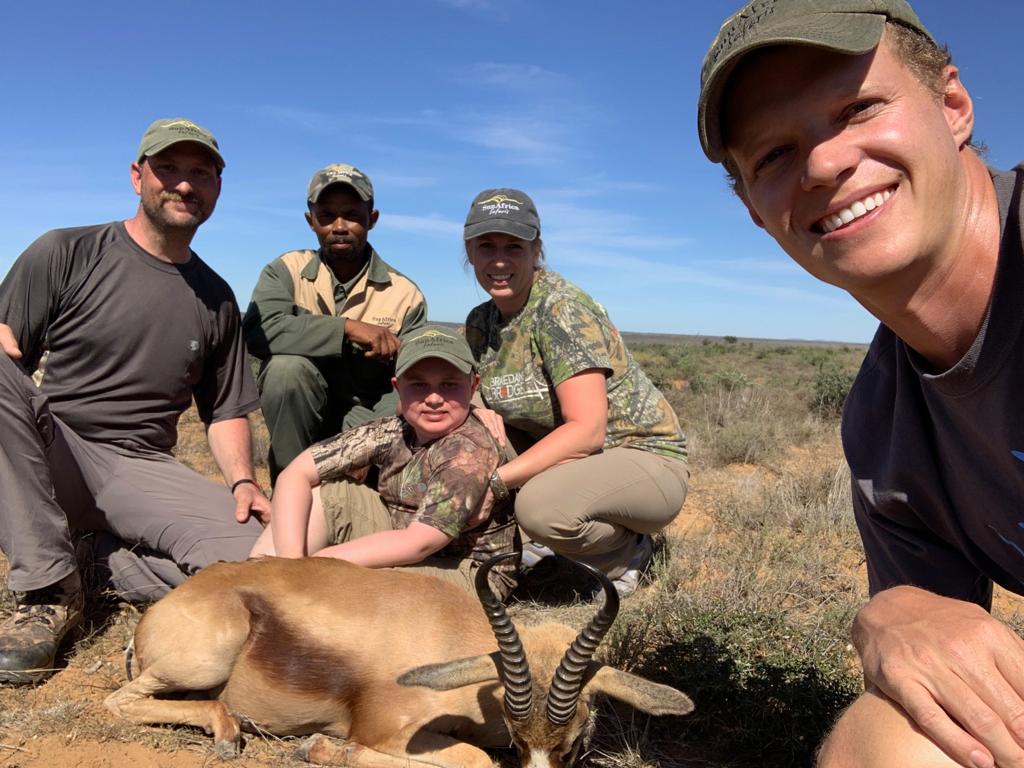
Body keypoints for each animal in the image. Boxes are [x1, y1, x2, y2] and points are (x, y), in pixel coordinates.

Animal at [104, 552, 693, 767]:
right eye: (519, 741)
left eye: (572, 746)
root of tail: (155, 615)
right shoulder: (385, 730)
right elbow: (475, 761)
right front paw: (317, 748)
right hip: (205, 661)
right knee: (118, 702)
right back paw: (228, 735)